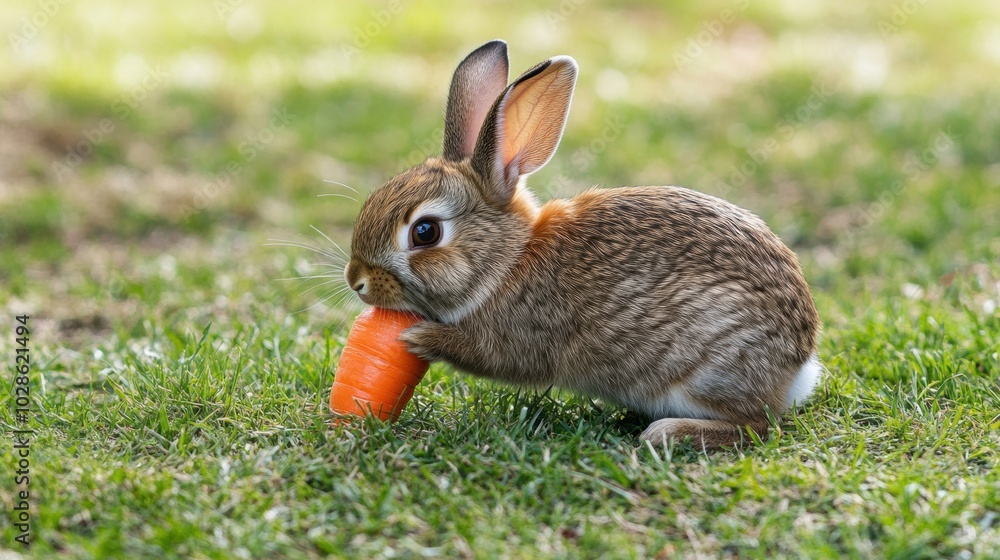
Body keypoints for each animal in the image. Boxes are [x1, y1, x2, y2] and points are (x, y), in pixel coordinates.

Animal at [344, 40, 822, 448]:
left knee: (758, 425)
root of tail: (799, 366)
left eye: (425, 232)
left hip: (707, 367)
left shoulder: (525, 333)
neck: (508, 262)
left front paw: (420, 338)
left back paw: (667, 432)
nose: (357, 281)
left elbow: (494, 356)